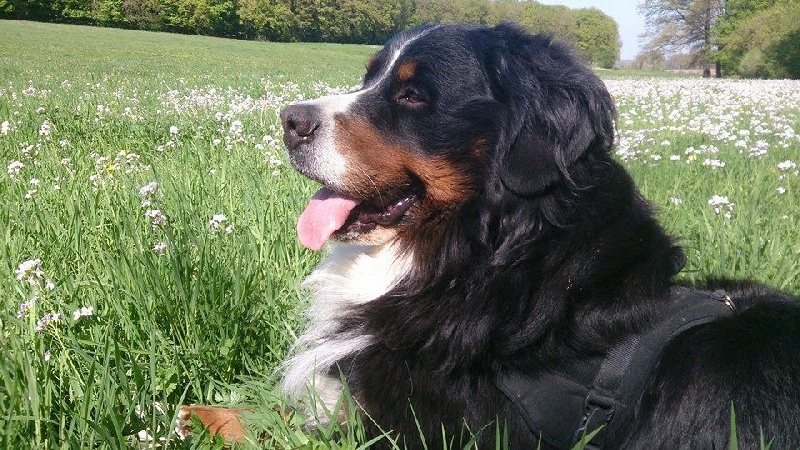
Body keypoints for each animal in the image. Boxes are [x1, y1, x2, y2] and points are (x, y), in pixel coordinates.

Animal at [185, 23, 800, 448]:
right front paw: (192, 412)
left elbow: (282, 428)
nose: (290, 120)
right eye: (368, 79)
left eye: (412, 96)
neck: (480, 258)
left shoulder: (424, 429)